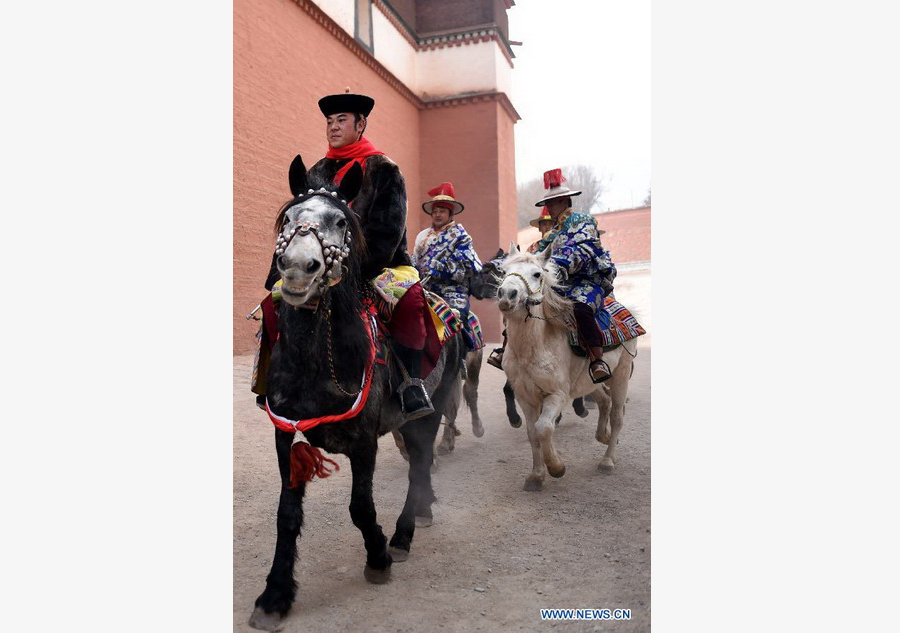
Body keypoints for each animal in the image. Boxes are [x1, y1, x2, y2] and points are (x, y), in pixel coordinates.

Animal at [496, 244, 636, 492]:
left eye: (537, 274)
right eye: (503, 271)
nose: (506, 295)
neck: (533, 347)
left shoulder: (557, 394)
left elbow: (544, 428)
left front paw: (556, 467)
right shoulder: (524, 396)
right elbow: (532, 433)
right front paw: (536, 476)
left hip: (621, 375)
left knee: (617, 415)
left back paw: (607, 460)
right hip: (589, 382)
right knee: (604, 401)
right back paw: (603, 436)